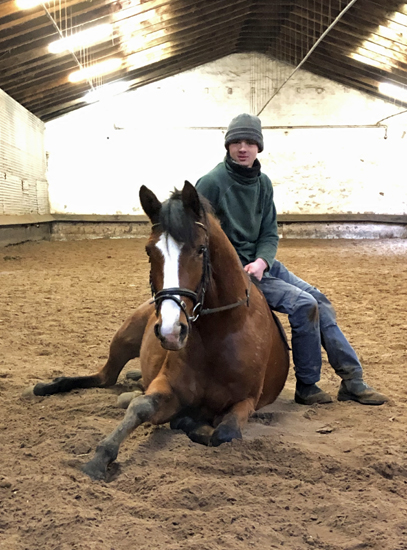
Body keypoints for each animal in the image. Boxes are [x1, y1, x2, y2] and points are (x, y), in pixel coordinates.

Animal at [26, 183, 290, 480]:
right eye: (149, 251)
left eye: (201, 249)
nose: (170, 330)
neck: (221, 334)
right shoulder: (168, 386)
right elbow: (142, 407)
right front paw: (98, 459)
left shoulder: (246, 401)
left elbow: (224, 433)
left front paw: (191, 422)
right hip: (122, 340)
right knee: (104, 377)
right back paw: (50, 385)